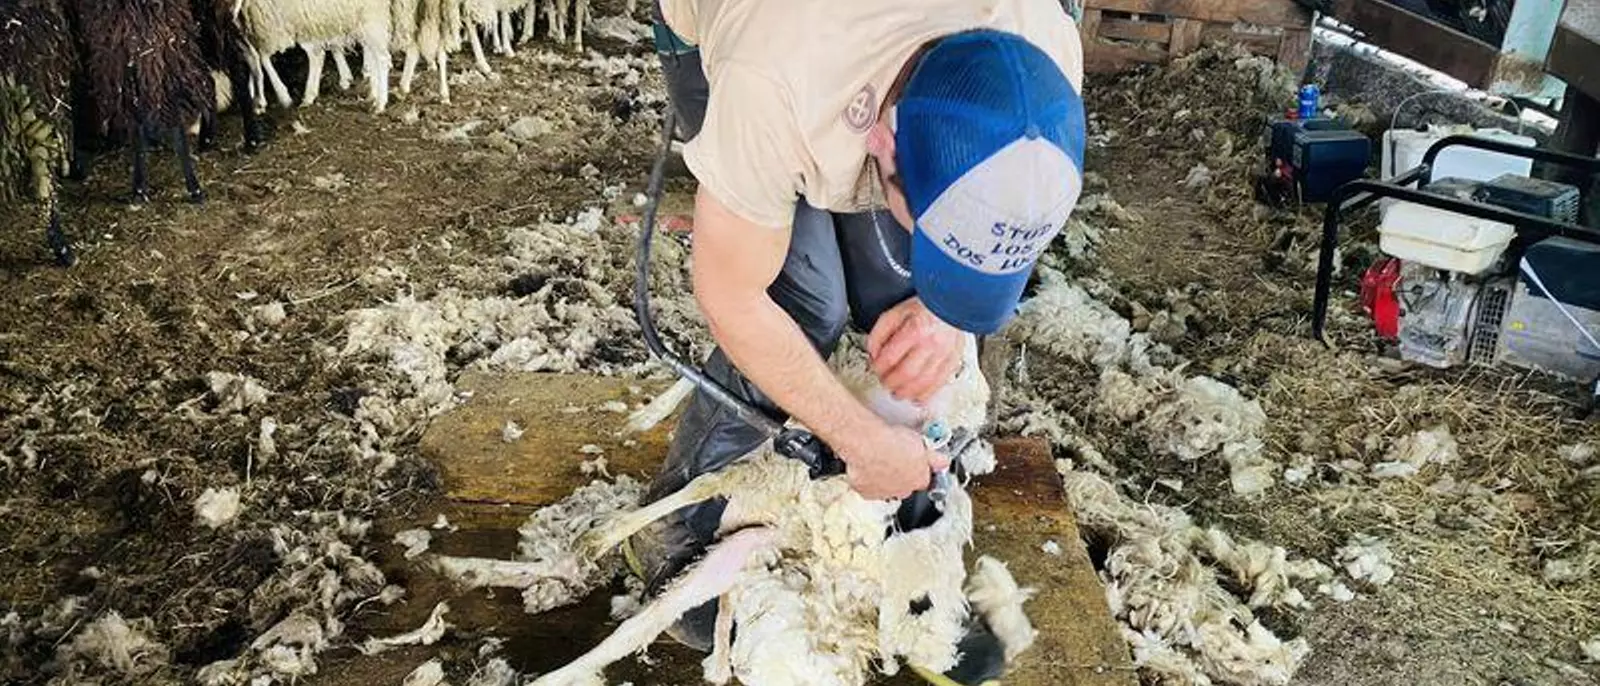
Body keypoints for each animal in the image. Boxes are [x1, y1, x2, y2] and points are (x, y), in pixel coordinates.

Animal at [66, 0, 215, 205]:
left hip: (129, 61)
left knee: (137, 122)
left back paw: (139, 188)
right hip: (168, 59)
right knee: (177, 117)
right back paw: (194, 187)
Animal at [235, 0, 392, 113]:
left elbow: (259, 57)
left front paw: (277, 98)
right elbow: (254, 57)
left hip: (369, 15)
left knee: (382, 57)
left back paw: (380, 103)